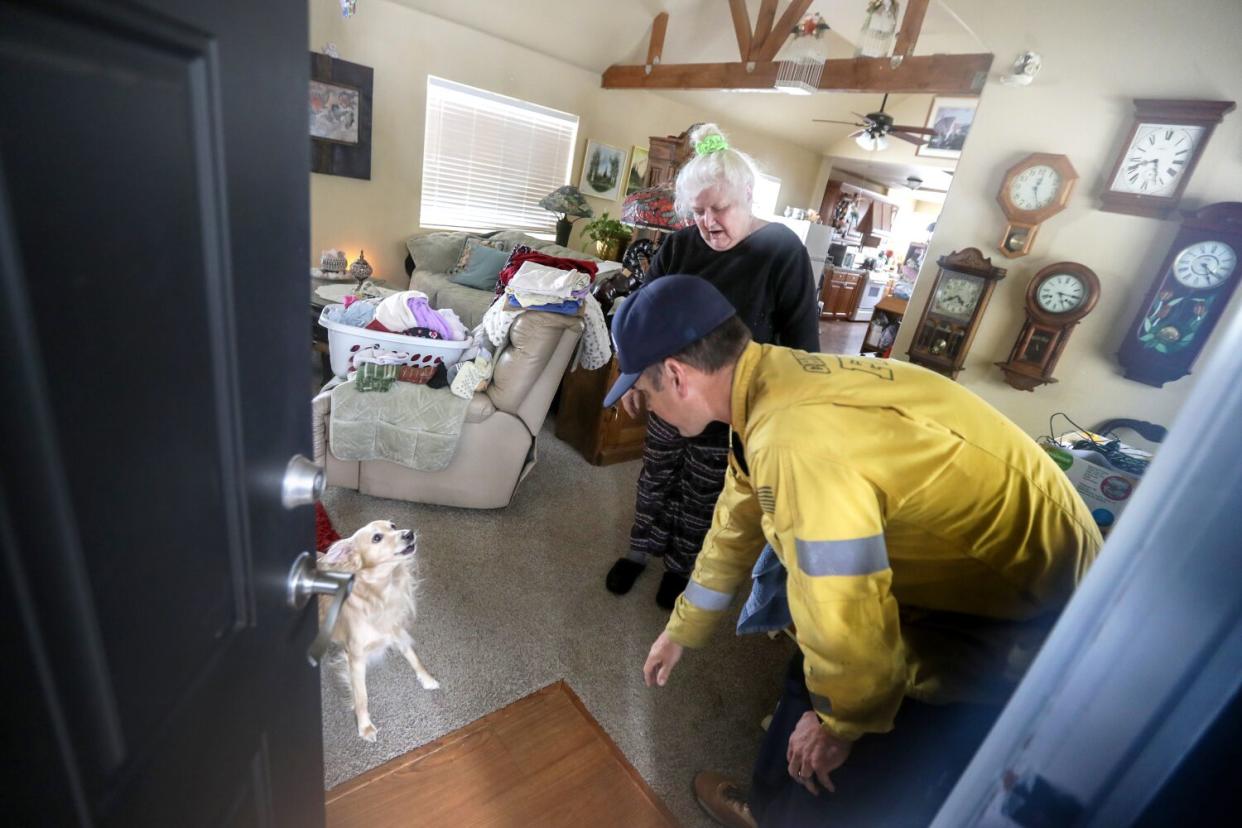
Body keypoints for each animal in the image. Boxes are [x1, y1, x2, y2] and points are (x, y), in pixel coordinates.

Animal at [317, 521, 439, 739]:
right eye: (376, 538)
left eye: (393, 526)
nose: (409, 534)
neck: (379, 592)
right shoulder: (355, 657)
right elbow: (361, 696)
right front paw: (364, 726)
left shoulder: (395, 631)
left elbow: (414, 657)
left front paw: (427, 678)